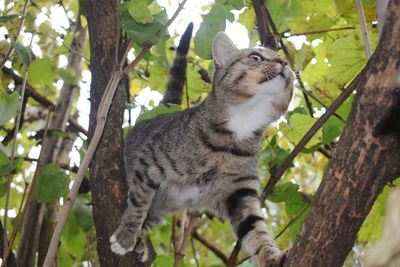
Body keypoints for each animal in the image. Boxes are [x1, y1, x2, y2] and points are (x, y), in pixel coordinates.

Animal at [109, 24, 294, 266]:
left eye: (285, 60)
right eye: (255, 57)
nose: (285, 63)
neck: (241, 125)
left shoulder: (240, 193)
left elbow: (255, 230)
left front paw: (272, 257)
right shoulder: (151, 161)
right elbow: (138, 204)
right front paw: (126, 236)